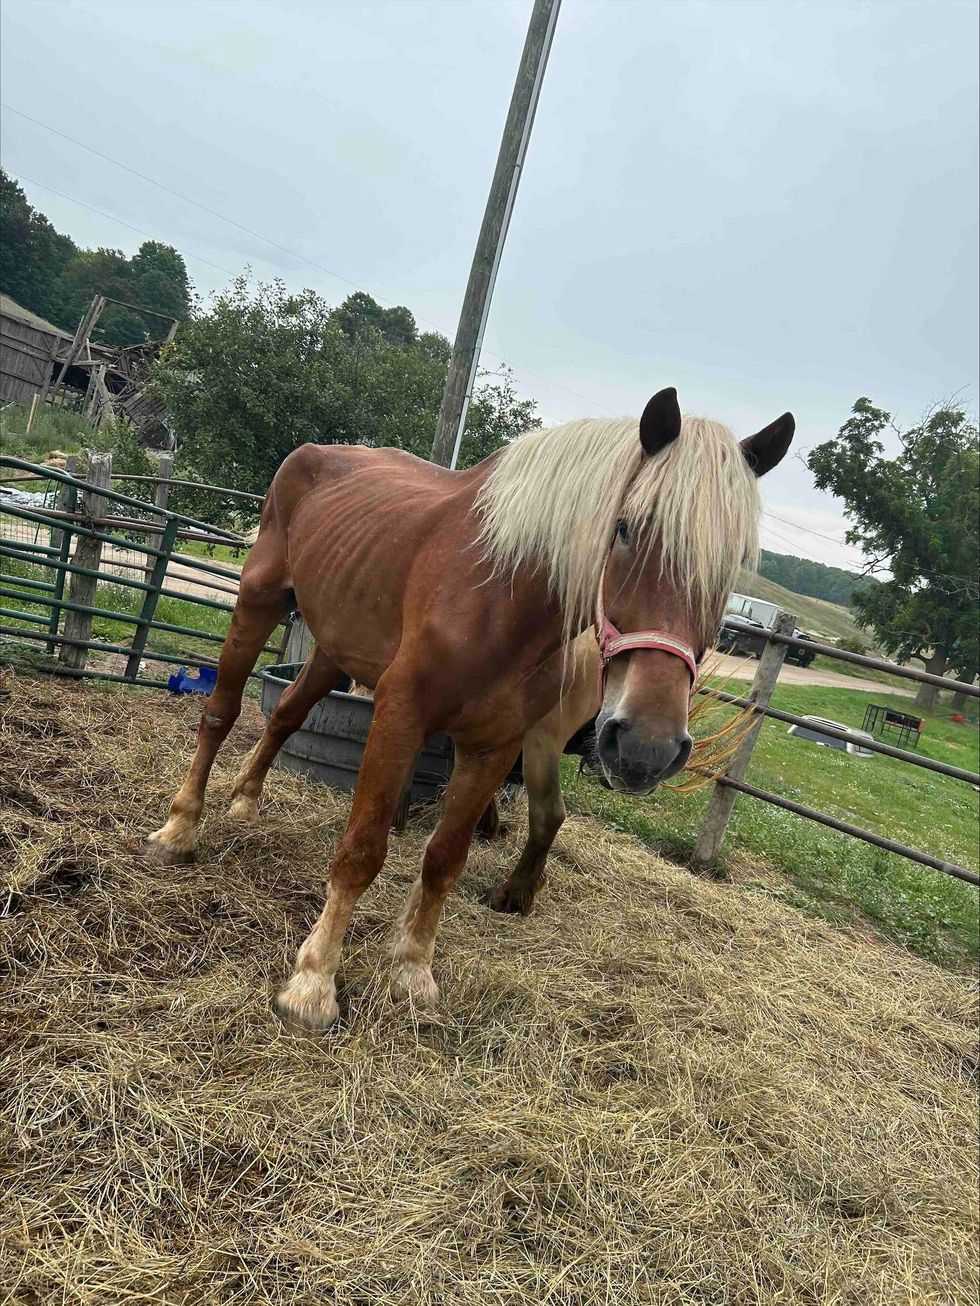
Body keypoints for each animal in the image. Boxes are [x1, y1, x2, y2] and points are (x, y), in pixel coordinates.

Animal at [145, 388, 794, 1030]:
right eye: (625, 530)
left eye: (732, 563)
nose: (644, 748)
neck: (501, 599)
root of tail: (316, 451)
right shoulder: (401, 716)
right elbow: (362, 851)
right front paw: (313, 983)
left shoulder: (494, 747)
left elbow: (444, 859)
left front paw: (412, 972)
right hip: (258, 599)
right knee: (221, 713)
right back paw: (179, 829)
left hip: (334, 648)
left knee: (286, 715)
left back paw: (246, 801)